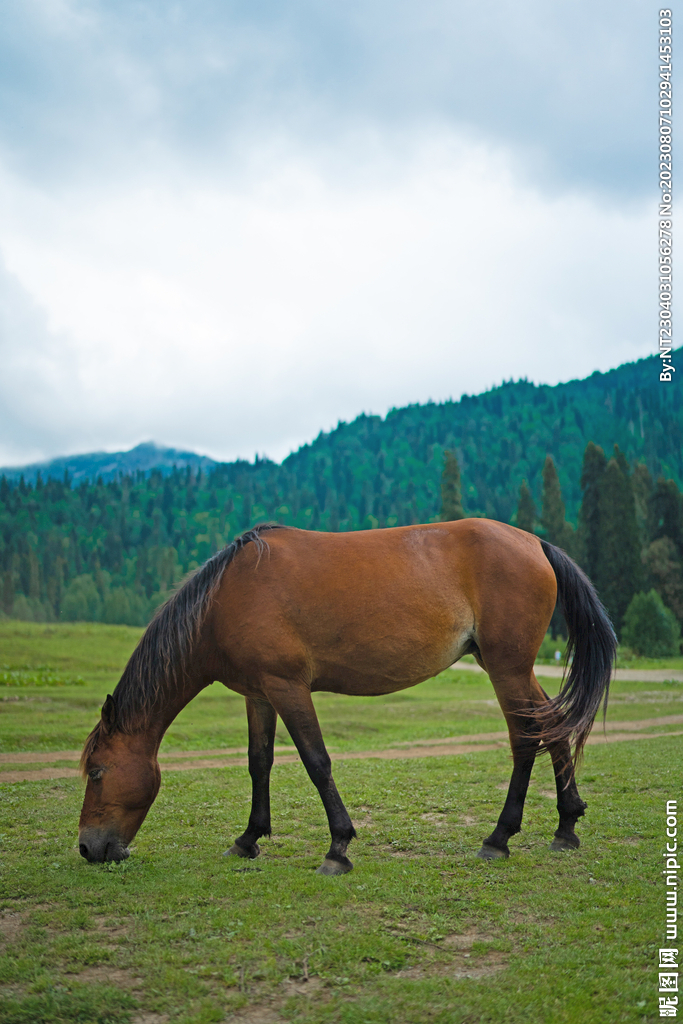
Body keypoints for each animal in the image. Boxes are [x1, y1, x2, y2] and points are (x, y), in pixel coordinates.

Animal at [78, 518, 616, 875]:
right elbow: (258, 762)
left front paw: (338, 848)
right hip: (509, 667)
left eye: (98, 772)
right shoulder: (259, 694)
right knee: (553, 725)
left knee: (527, 738)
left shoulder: (288, 687)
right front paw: (249, 838)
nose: (87, 848)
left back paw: (499, 837)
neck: (223, 600)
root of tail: (534, 542)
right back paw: (566, 826)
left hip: (507, 668)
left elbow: (317, 762)